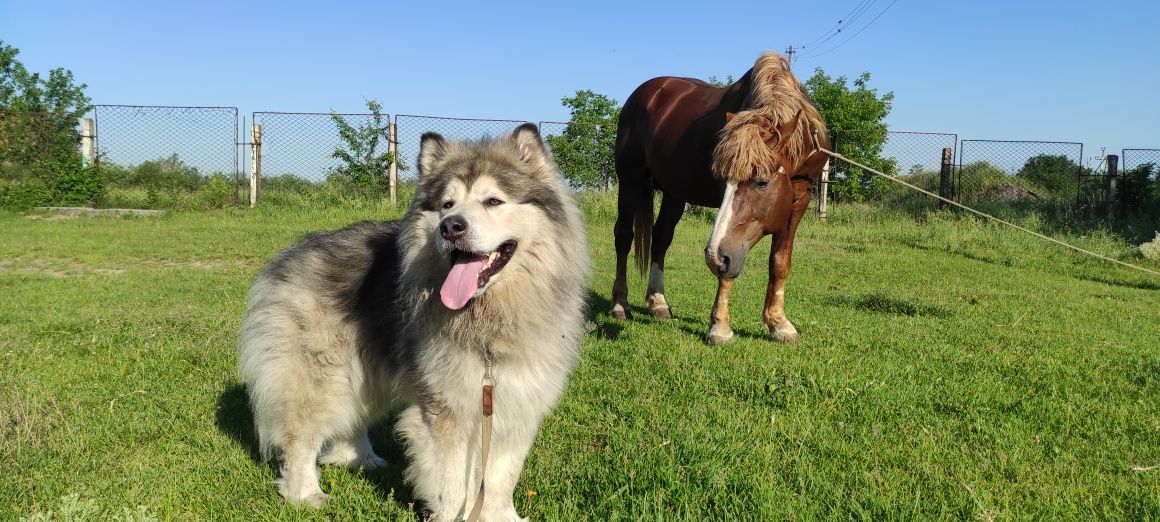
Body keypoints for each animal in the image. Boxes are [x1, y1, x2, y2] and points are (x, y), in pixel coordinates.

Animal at [241, 124, 593, 519]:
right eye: (447, 205)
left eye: (493, 201)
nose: (450, 227)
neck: (490, 316)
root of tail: (292, 253)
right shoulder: (446, 410)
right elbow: (453, 485)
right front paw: (454, 515)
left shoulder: (515, 405)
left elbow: (500, 479)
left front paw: (499, 515)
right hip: (322, 378)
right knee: (299, 438)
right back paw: (305, 494)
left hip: (365, 373)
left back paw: (363, 460)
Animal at [612, 51, 830, 345]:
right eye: (722, 180)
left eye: (761, 182)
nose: (715, 255)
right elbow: (727, 268)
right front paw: (720, 327)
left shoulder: (799, 199)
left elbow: (780, 262)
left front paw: (779, 323)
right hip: (630, 181)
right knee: (624, 237)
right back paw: (620, 305)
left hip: (673, 192)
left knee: (661, 237)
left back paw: (658, 303)